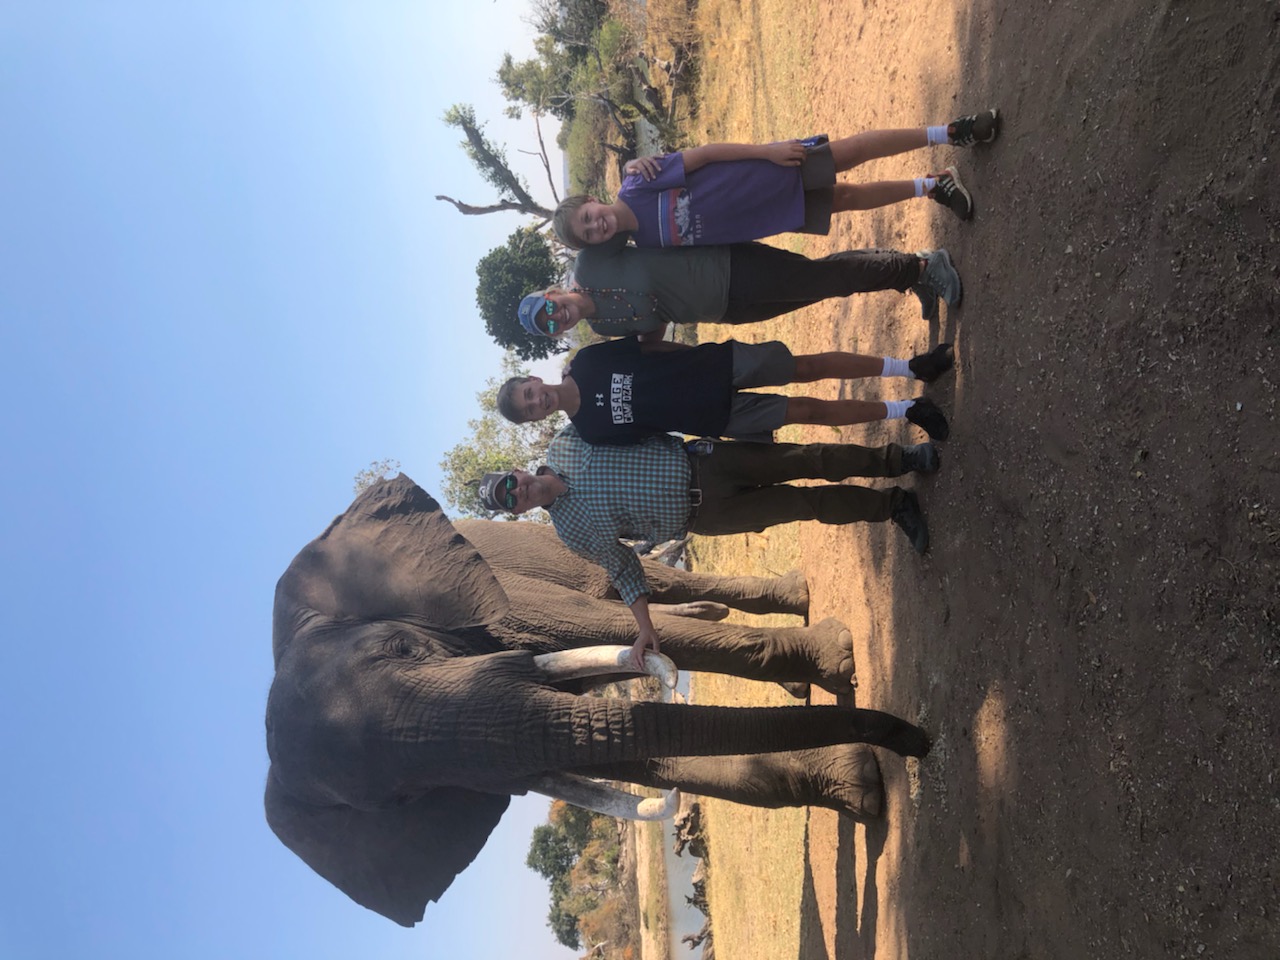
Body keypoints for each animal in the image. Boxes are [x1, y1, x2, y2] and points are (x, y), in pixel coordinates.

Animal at [264, 475, 930, 926]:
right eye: (403, 798)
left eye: (403, 647)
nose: (918, 740)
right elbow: (635, 756)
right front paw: (858, 788)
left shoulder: (502, 600)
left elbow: (600, 625)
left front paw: (837, 663)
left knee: (647, 582)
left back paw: (801, 612)